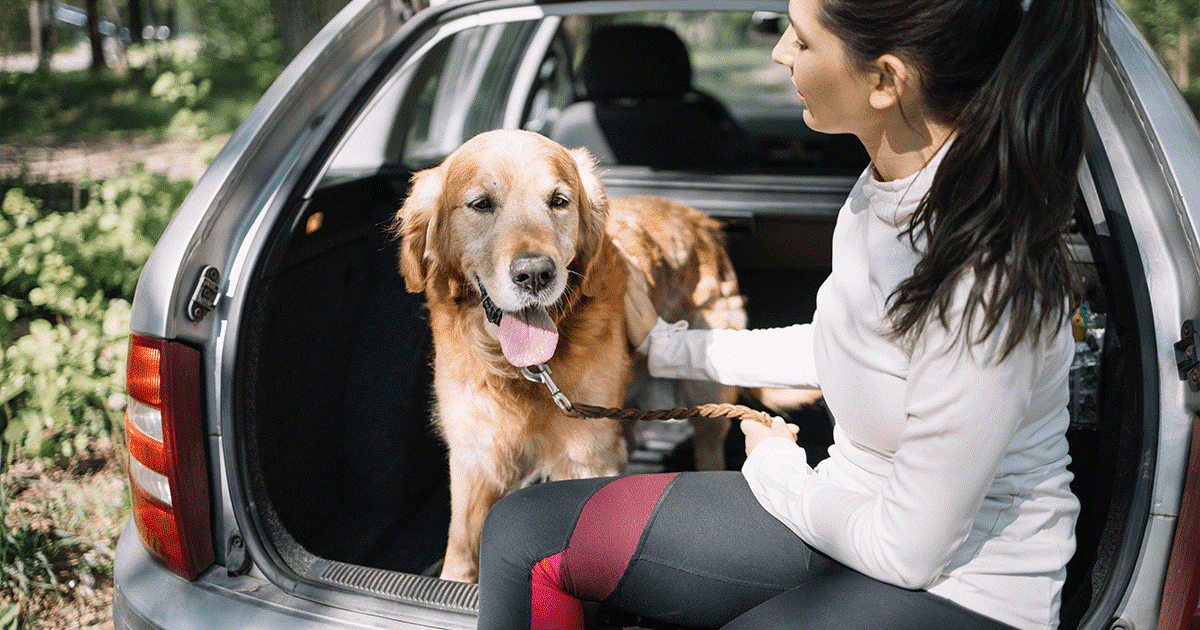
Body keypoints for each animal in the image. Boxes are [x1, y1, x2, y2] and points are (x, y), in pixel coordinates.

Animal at [393, 130, 744, 583]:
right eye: (482, 204)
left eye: (558, 201)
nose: (535, 274)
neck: (522, 372)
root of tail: (701, 220)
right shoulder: (475, 450)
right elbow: (461, 547)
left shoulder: (586, 454)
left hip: (707, 395)